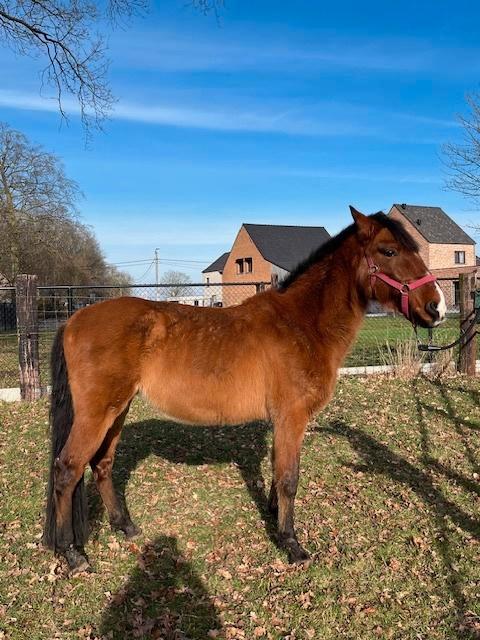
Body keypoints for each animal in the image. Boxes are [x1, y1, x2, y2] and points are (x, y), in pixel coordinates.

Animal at [42, 207, 446, 574]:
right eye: (388, 251)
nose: (437, 306)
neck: (302, 323)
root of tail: (74, 319)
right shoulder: (291, 417)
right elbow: (289, 478)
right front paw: (292, 544)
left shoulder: (283, 422)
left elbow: (277, 470)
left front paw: (273, 515)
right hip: (97, 413)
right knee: (67, 470)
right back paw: (73, 555)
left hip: (118, 410)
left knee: (102, 465)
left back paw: (125, 526)